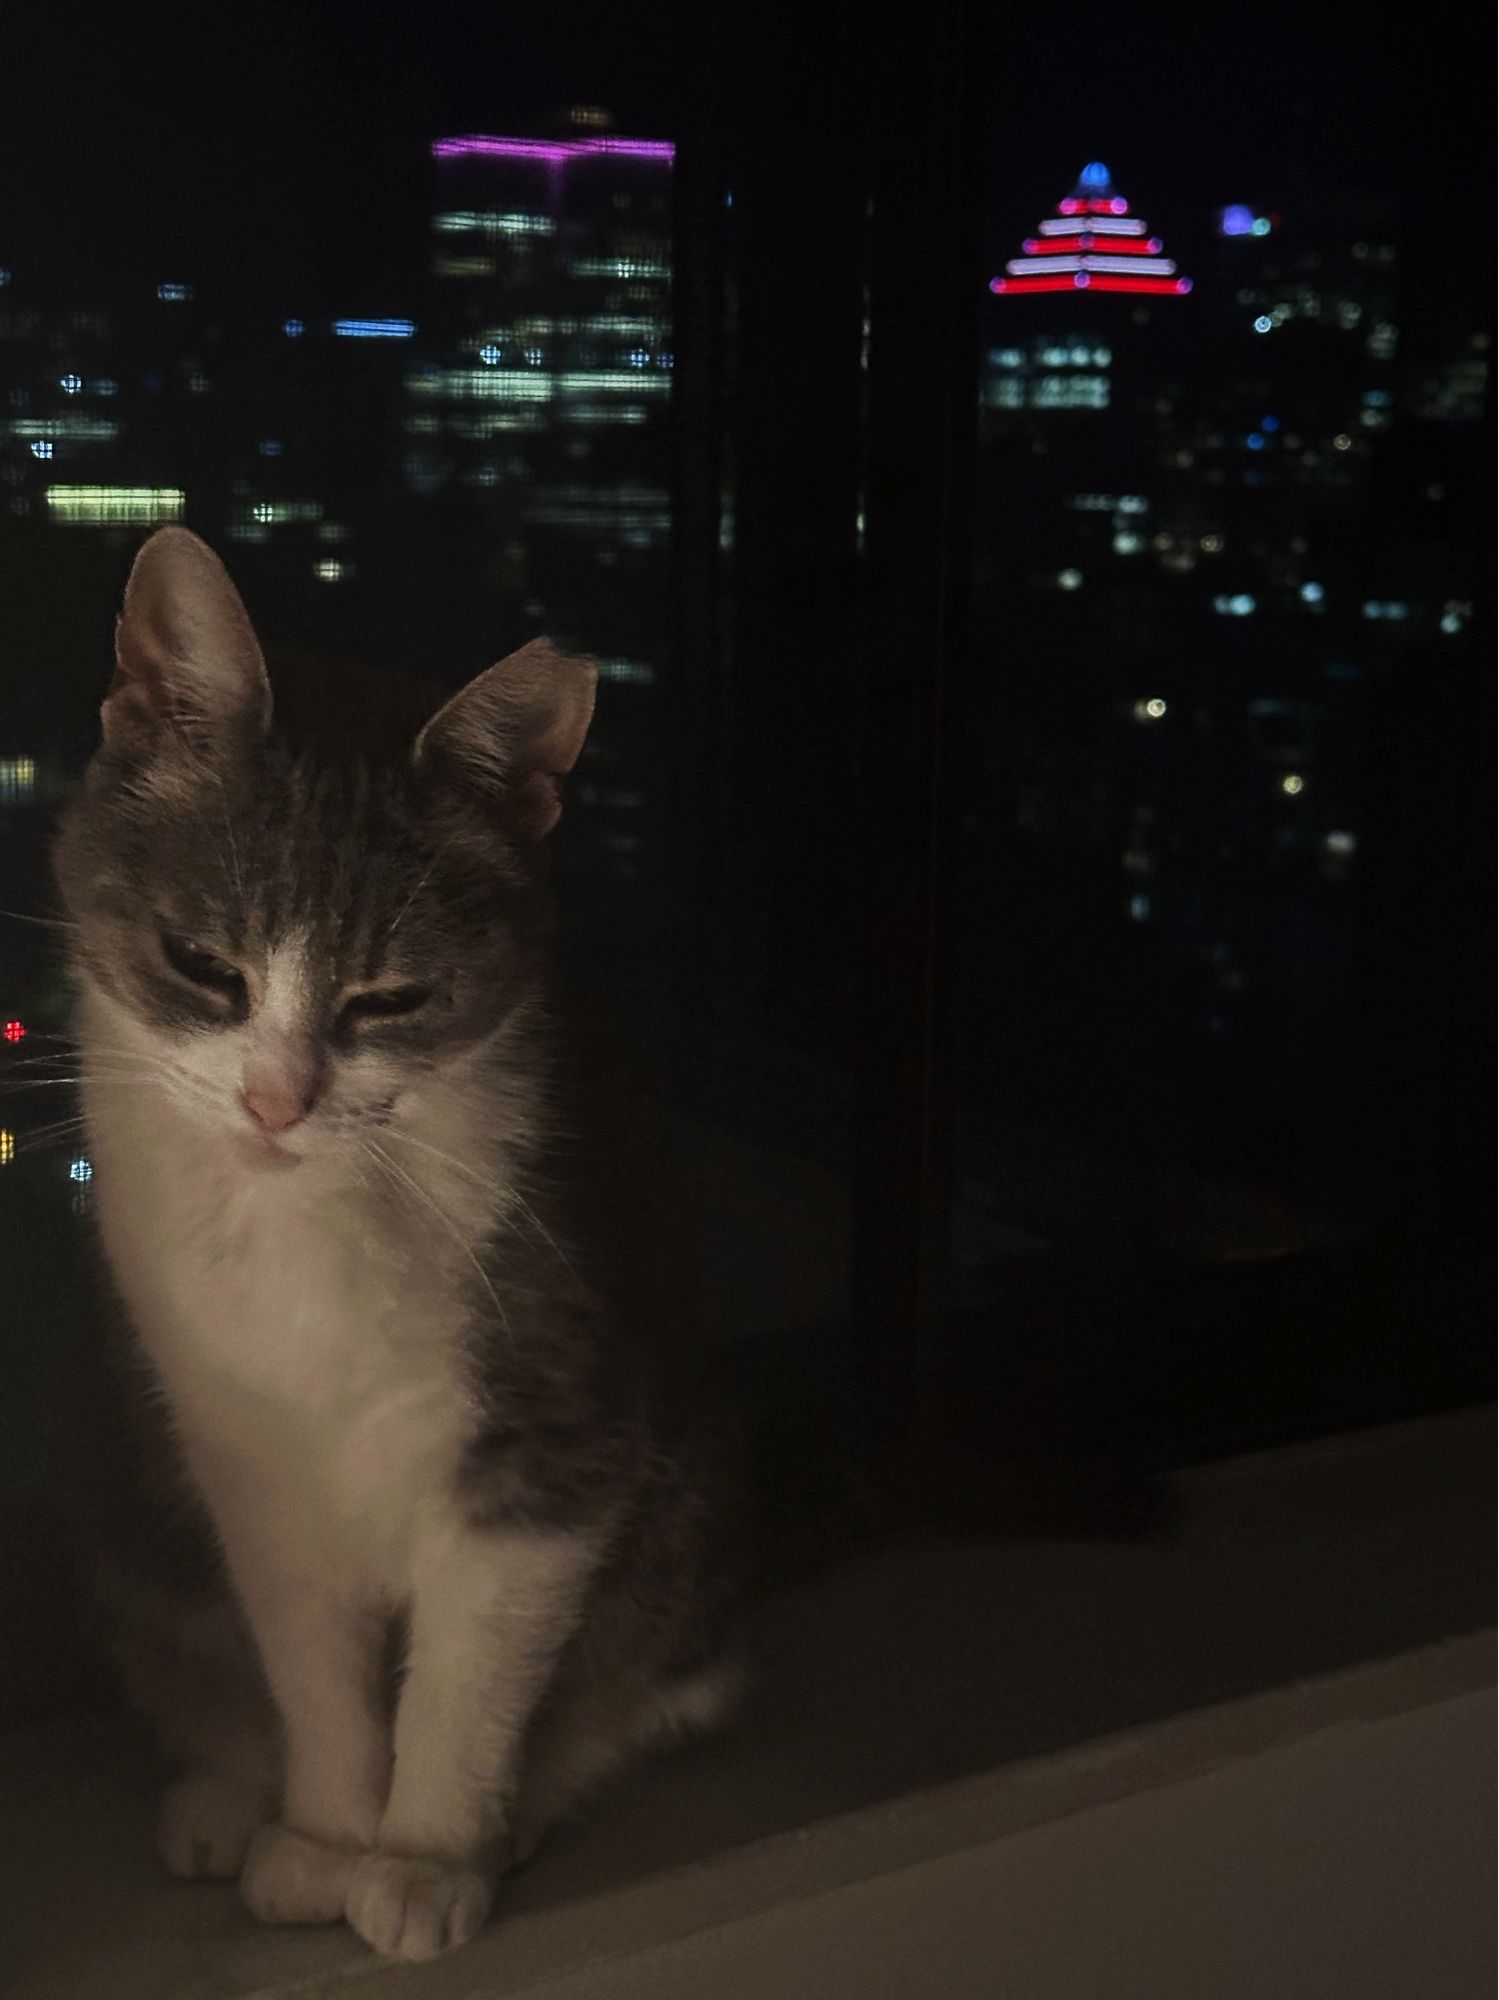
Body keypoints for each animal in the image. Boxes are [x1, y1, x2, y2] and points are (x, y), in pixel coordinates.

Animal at [49, 524, 743, 1960]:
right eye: (203, 965)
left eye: (389, 998)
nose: (276, 1100)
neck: (308, 1226)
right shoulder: (243, 1457)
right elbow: (309, 1662)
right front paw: (323, 1832)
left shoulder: (549, 1433)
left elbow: (470, 1670)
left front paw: (424, 1853)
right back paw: (228, 1792)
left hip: (690, 1488)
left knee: (648, 1675)